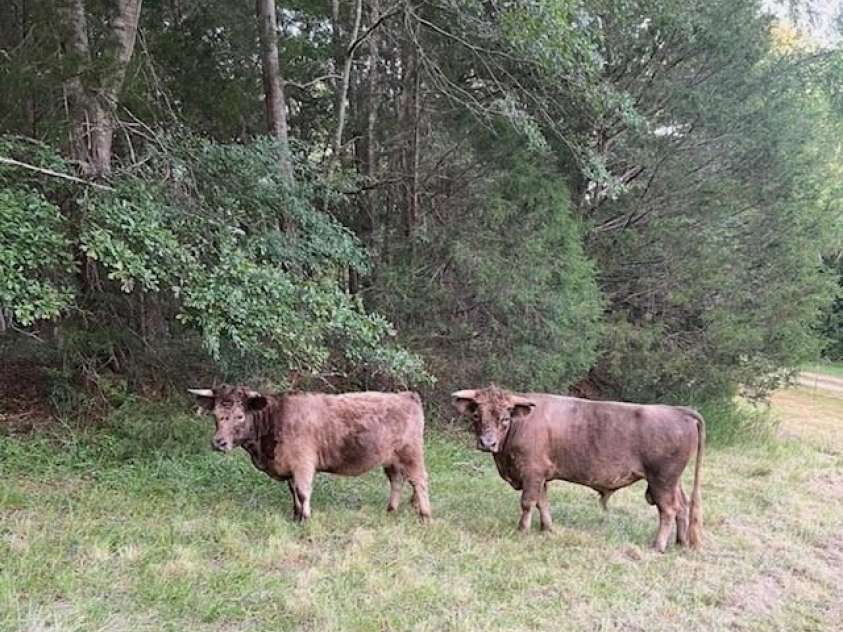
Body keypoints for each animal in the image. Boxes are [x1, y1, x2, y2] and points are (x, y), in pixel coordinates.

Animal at [189, 385, 432, 523]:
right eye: (215, 414)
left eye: (240, 416)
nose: (219, 442)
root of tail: (406, 395)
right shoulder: (290, 467)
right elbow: (293, 493)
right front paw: (296, 516)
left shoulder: (303, 463)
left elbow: (303, 492)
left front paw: (305, 520)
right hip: (391, 460)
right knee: (397, 481)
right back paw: (390, 510)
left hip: (411, 454)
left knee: (419, 481)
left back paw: (425, 516)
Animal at [451, 385, 704, 552]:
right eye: (476, 415)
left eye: (505, 418)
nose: (487, 443)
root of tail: (679, 410)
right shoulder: (542, 476)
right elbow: (543, 502)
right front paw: (547, 529)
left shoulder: (532, 472)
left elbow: (527, 502)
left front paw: (522, 530)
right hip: (672, 481)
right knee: (682, 506)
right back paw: (681, 542)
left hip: (662, 479)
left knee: (668, 510)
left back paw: (658, 546)